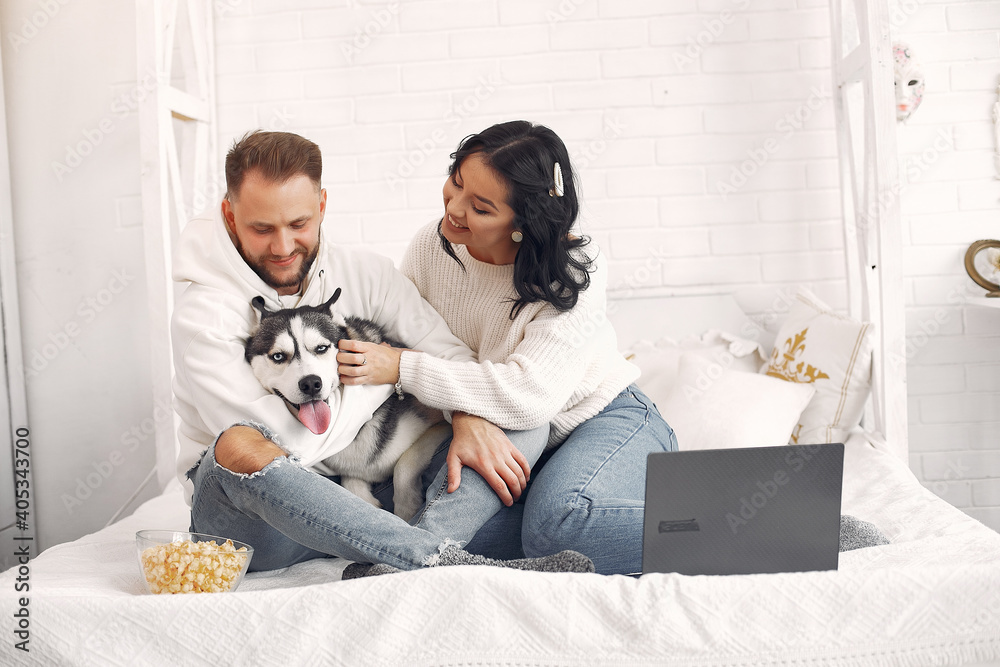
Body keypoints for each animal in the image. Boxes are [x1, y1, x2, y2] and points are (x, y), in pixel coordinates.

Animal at [242, 288, 442, 520]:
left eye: (321, 348)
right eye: (278, 356)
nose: (311, 384)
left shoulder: (440, 424)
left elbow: (405, 464)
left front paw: (407, 509)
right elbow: (351, 480)